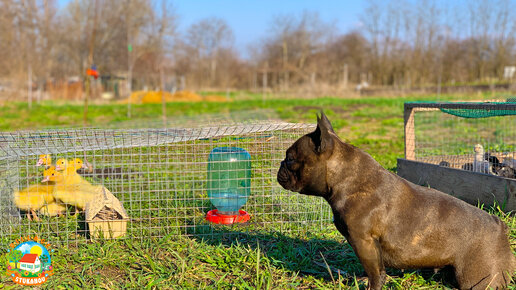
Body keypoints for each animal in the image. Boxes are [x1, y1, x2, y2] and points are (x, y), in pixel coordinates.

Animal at [276, 113, 512, 290]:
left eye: (290, 158)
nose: (280, 165)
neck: (346, 178)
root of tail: (499, 225)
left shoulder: (364, 241)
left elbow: (375, 273)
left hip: (477, 279)